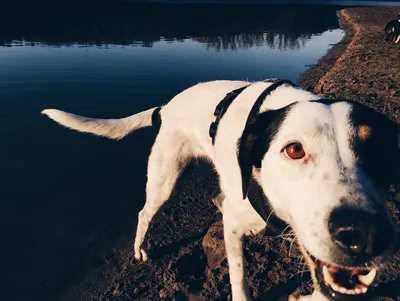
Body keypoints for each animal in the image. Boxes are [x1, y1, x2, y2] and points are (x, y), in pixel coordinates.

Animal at [42, 79, 398, 300]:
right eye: (294, 149)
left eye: (382, 151)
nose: (366, 234)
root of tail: (166, 106)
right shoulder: (234, 228)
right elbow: (239, 279)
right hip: (165, 179)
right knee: (145, 212)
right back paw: (140, 249)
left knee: (218, 197)